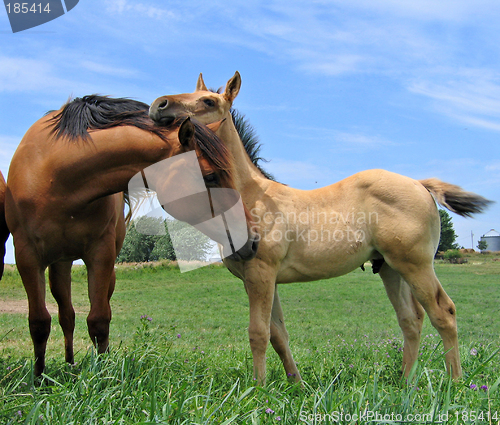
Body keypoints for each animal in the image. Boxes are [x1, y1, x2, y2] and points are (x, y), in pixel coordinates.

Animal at [5, 96, 258, 374]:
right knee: (66, 315)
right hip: (59, 262)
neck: (58, 180)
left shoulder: (101, 255)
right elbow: (39, 323)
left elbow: (99, 320)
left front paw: (103, 374)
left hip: (77, 265)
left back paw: (72, 364)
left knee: (73, 314)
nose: (253, 239)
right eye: (210, 176)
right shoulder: (26, 256)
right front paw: (38, 379)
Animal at [149, 73, 492, 384]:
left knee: (443, 313)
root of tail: (420, 184)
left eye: (208, 101)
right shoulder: (259, 279)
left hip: (416, 265)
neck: (254, 196)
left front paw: (258, 391)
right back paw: (405, 384)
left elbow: (258, 333)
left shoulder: (261, 272)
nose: (158, 105)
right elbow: (278, 335)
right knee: (411, 319)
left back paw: (455, 384)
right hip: (391, 267)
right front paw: (296, 386)